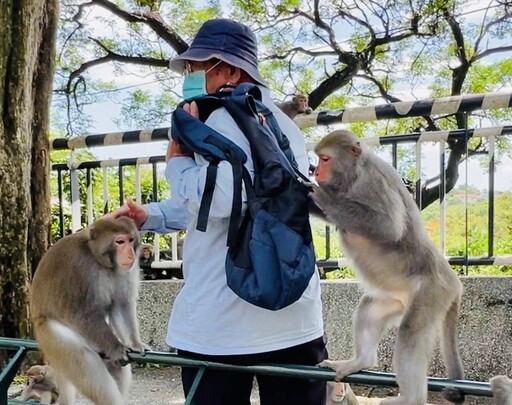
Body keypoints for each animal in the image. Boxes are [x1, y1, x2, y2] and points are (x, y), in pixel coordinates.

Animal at [30, 216, 148, 404]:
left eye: (131, 240)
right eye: (120, 242)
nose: (130, 254)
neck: (98, 260)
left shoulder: (125, 271)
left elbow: (120, 305)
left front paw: (135, 344)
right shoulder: (78, 267)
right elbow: (81, 314)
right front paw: (116, 348)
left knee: (115, 368)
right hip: (53, 341)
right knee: (87, 365)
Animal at [310, 129, 466, 404]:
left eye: (325, 159)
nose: (316, 171)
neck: (355, 174)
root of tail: (454, 282)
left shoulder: (374, 184)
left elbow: (388, 227)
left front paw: (325, 196)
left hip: (433, 293)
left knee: (410, 334)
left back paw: (410, 398)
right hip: (398, 299)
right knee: (369, 309)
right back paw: (360, 361)